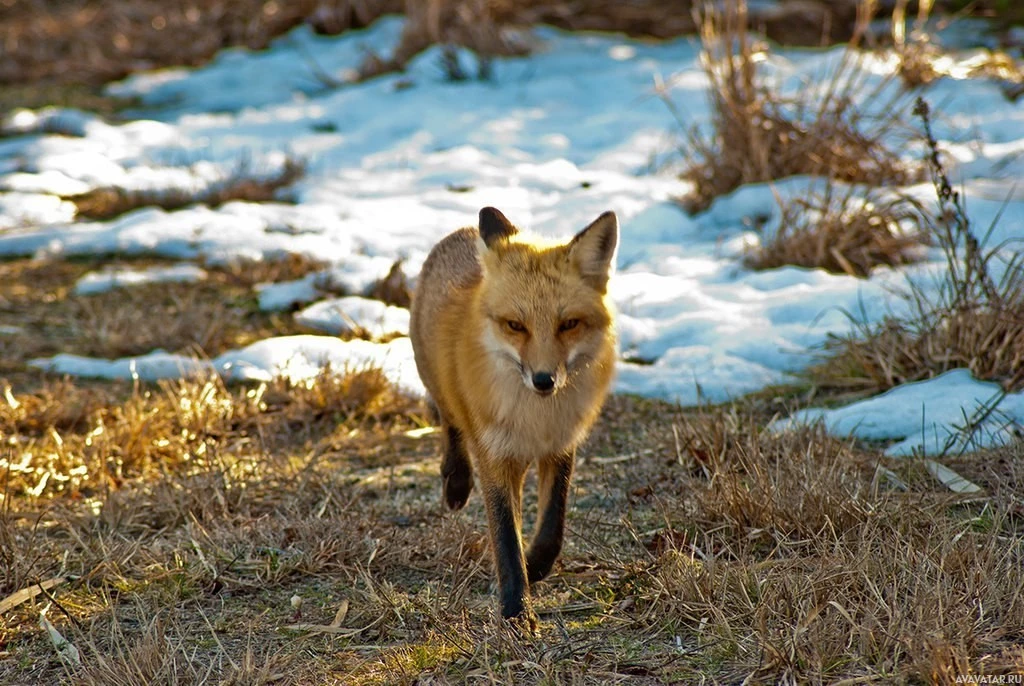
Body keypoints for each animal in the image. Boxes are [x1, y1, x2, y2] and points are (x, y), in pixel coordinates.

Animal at [407, 206, 614, 630]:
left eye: (569, 324)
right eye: (516, 326)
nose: (544, 380)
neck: (534, 417)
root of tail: (462, 230)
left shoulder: (561, 446)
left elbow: (552, 527)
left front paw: (534, 567)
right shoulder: (496, 456)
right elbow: (505, 536)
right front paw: (517, 610)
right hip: (435, 381)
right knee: (450, 422)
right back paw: (456, 481)